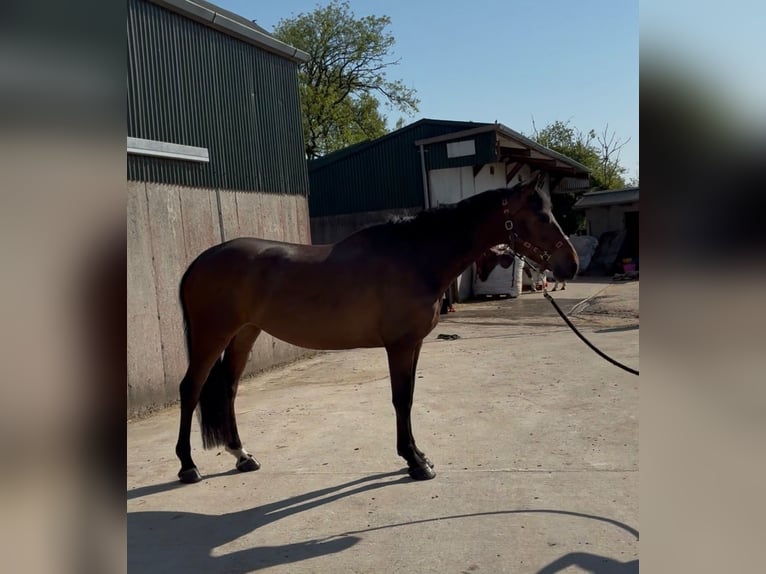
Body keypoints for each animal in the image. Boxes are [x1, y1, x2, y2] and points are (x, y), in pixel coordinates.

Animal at [174, 176, 578, 483]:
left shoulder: (414, 345)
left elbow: (409, 397)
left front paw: (418, 455)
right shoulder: (399, 345)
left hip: (245, 333)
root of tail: (200, 260)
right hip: (212, 336)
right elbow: (402, 400)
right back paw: (188, 466)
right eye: (541, 217)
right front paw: (414, 462)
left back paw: (242, 455)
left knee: (228, 389)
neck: (415, 256)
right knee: (191, 389)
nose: (570, 265)